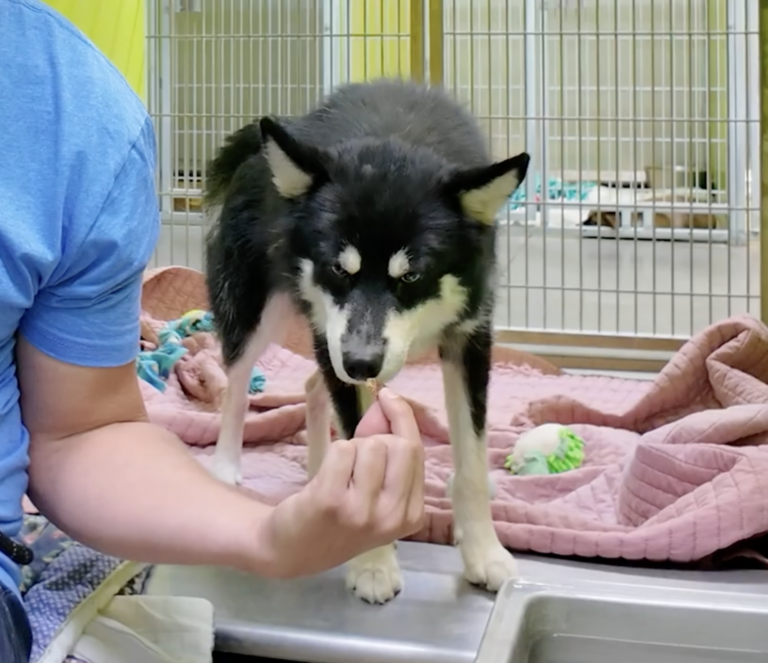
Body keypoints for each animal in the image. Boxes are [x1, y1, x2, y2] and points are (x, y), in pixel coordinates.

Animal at [204, 79, 528, 608]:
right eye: (339, 269)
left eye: (411, 276)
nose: (360, 363)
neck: (394, 140)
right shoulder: (334, 336)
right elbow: (364, 450)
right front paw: (372, 562)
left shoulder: (469, 336)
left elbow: (472, 458)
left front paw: (485, 552)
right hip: (258, 308)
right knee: (236, 383)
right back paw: (225, 467)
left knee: (313, 386)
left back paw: (320, 469)